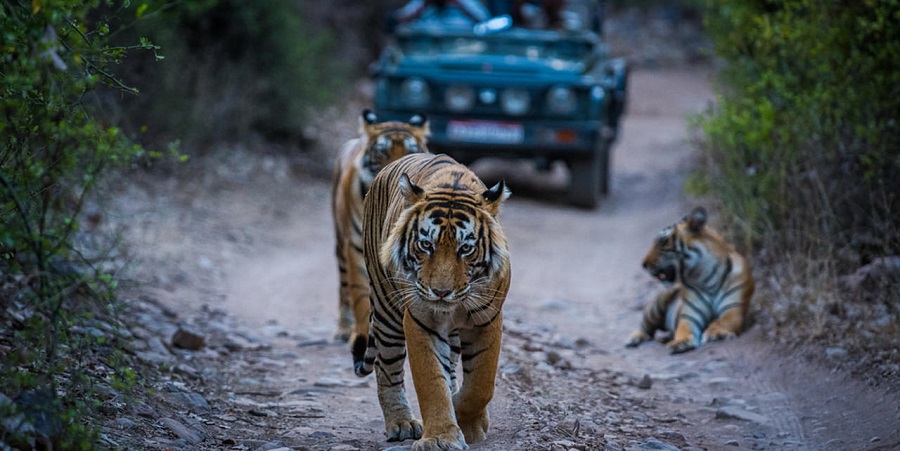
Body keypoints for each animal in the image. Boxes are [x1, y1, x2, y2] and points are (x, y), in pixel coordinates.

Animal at [332, 109, 430, 342]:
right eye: (382, 152)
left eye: (411, 151)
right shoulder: (355, 247)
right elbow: (359, 295)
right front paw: (360, 333)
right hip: (340, 243)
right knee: (344, 286)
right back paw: (343, 329)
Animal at [358, 154, 510, 450]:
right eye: (426, 245)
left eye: (466, 249)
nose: (440, 292)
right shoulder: (421, 320)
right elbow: (431, 381)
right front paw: (441, 436)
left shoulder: (488, 319)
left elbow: (481, 383)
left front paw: (468, 420)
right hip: (386, 309)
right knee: (387, 368)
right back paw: (402, 423)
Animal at [624, 207, 752, 354]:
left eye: (662, 241)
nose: (643, 264)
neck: (706, 276)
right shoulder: (689, 315)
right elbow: (683, 329)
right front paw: (680, 342)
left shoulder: (733, 308)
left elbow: (723, 321)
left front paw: (715, 333)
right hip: (658, 303)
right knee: (645, 327)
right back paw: (633, 339)